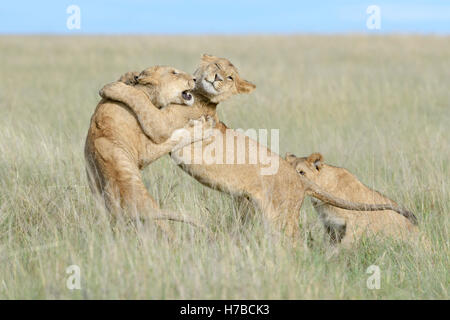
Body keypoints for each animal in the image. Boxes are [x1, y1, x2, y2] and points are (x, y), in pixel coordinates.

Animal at [85, 64, 216, 228]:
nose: (195, 79)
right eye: (174, 73)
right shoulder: (145, 152)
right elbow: (176, 137)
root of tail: (128, 212)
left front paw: (129, 77)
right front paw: (202, 128)